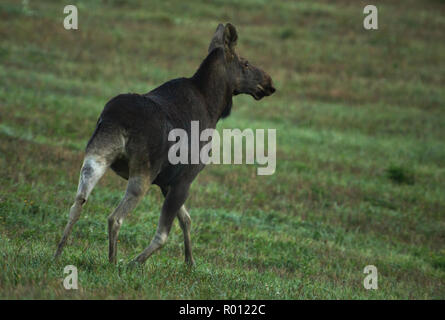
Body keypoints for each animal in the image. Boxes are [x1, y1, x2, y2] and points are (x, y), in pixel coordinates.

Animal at [54, 21, 276, 262]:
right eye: (245, 63)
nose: (269, 82)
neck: (214, 107)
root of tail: (116, 120)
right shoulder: (185, 178)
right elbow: (164, 234)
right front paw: (135, 262)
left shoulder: (166, 181)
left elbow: (186, 220)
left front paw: (190, 262)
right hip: (142, 173)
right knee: (115, 217)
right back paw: (113, 262)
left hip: (96, 156)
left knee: (77, 204)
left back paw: (57, 255)